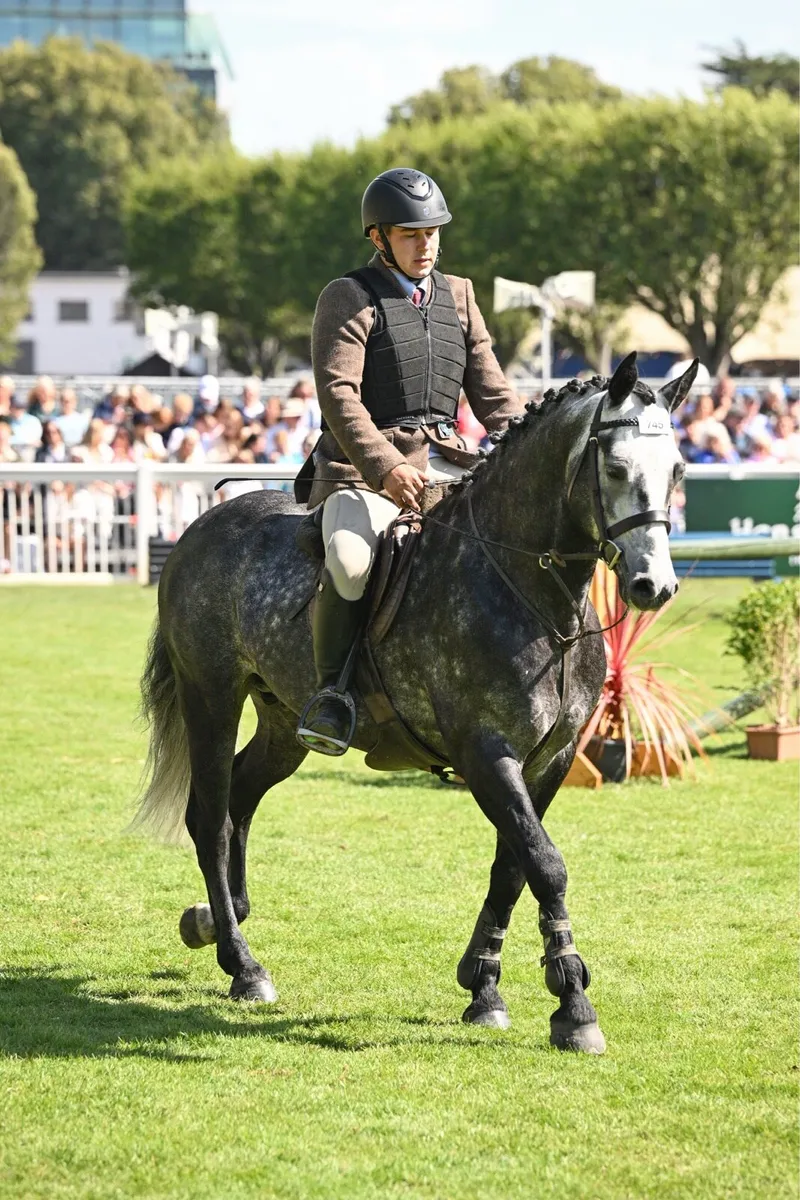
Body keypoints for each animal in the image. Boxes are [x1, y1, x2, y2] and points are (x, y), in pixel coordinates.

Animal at [135, 352, 698, 1054]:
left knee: (241, 797)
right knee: (210, 817)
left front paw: (484, 988)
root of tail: (201, 526)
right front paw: (573, 1005)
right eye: (617, 468)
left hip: (283, 724)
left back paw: (219, 921)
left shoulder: (553, 758)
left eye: (677, 471)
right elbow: (544, 863)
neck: (533, 593)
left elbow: (512, 866)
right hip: (210, 694)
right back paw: (243, 965)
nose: (654, 587)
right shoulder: (486, 753)